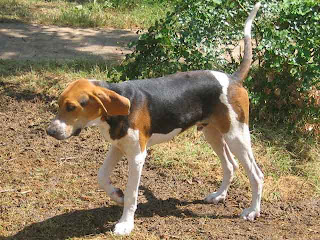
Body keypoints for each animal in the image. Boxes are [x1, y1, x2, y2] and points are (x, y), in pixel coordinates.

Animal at [47, 2, 262, 236]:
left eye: (71, 107)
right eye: (59, 104)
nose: (50, 131)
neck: (113, 112)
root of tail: (233, 79)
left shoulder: (137, 156)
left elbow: (132, 193)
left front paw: (125, 223)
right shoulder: (118, 146)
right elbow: (102, 176)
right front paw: (116, 195)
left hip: (237, 135)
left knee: (256, 175)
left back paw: (252, 211)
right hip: (213, 133)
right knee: (231, 165)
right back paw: (219, 195)